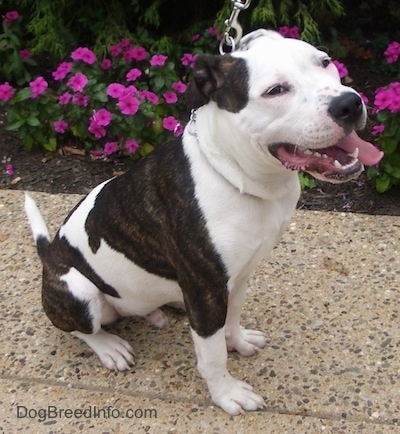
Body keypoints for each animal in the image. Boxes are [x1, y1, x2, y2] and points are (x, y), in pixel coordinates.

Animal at [25, 28, 384, 416]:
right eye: (275, 90)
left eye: (324, 62)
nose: (349, 103)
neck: (238, 175)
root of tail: (49, 254)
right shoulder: (205, 289)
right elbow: (211, 356)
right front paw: (226, 394)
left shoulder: (238, 276)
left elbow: (233, 315)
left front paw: (237, 340)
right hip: (79, 293)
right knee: (81, 328)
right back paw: (109, 346)